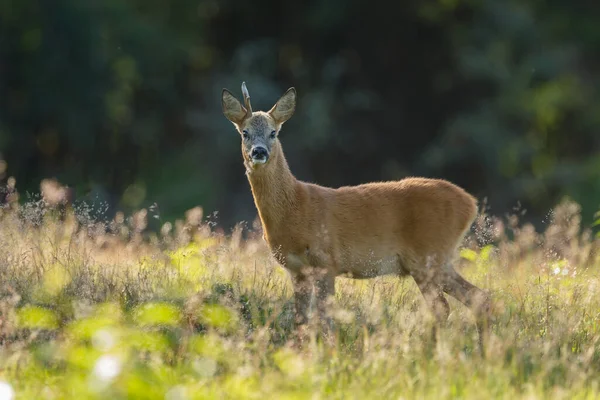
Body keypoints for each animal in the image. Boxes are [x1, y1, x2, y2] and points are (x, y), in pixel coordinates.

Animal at [221, 81, 492, 346]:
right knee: (477, 297)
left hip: (427, 257)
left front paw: (329, 352)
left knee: (443, 307)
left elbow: (325, 319)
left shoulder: (326, 260)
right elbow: (301, 321)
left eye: (273, 132)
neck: (295, 209)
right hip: (437, 260)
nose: (259, 152)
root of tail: (470, 203)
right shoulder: (296, 270)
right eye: (244, 132)